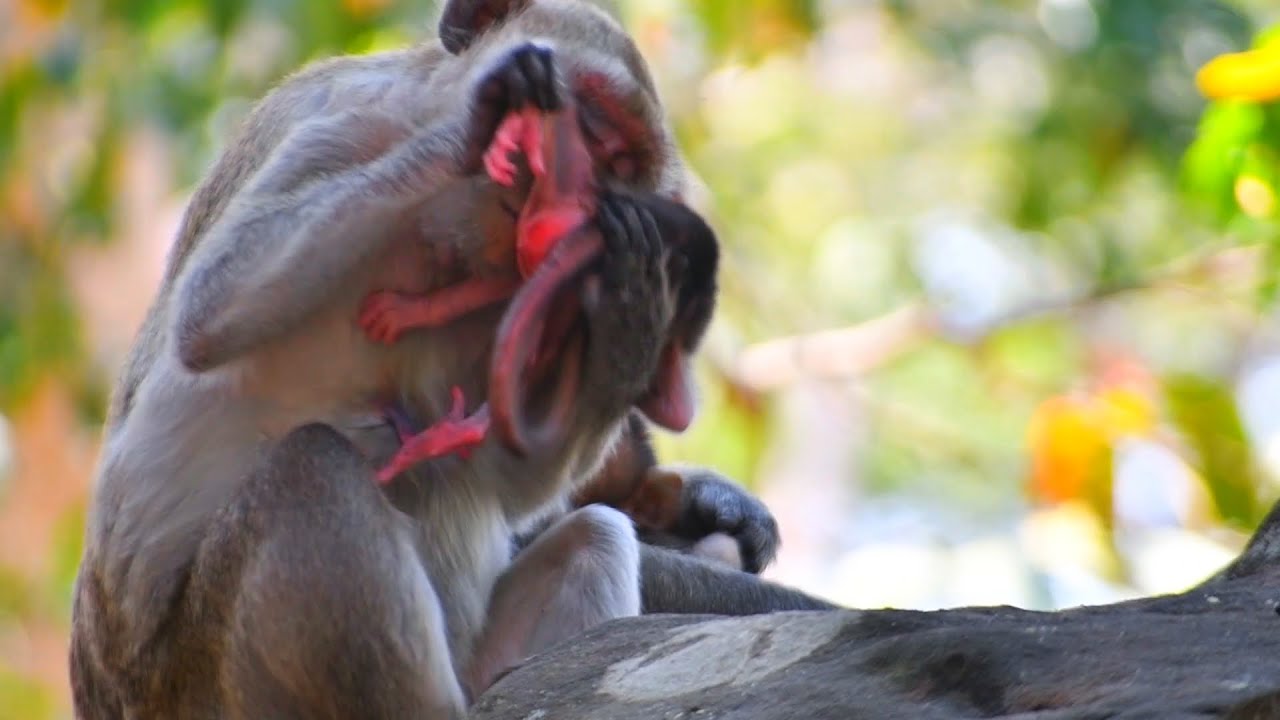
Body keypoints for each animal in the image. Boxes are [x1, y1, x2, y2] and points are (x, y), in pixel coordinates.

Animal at [70, 1, 834, 717]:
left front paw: (630, 315)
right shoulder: (332, 119)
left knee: (590, 535)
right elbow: (213, 305)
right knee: (310, 468)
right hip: (211, 678)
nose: (559, 194)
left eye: (616, 166)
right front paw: (481, 119)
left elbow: (513, 471)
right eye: (586, 121)